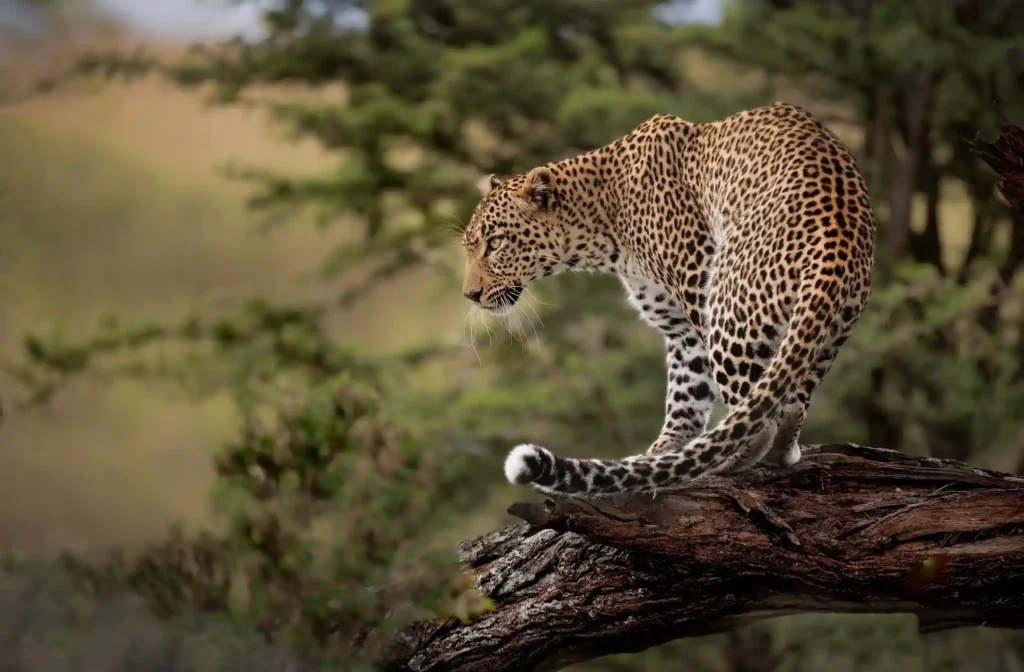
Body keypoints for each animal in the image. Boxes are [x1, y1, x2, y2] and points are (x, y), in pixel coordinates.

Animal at [460, 102, 875, 497]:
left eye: (495, 243)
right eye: (470, 246)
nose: (470, 294)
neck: (602, 224)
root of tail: (840, 238)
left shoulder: (695, 281)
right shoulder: (680, 328)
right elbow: (686, 391)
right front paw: (663, 454)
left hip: (727, 303)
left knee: (760, 418)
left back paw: (727, 461)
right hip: (825, 331)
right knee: (790, 409)